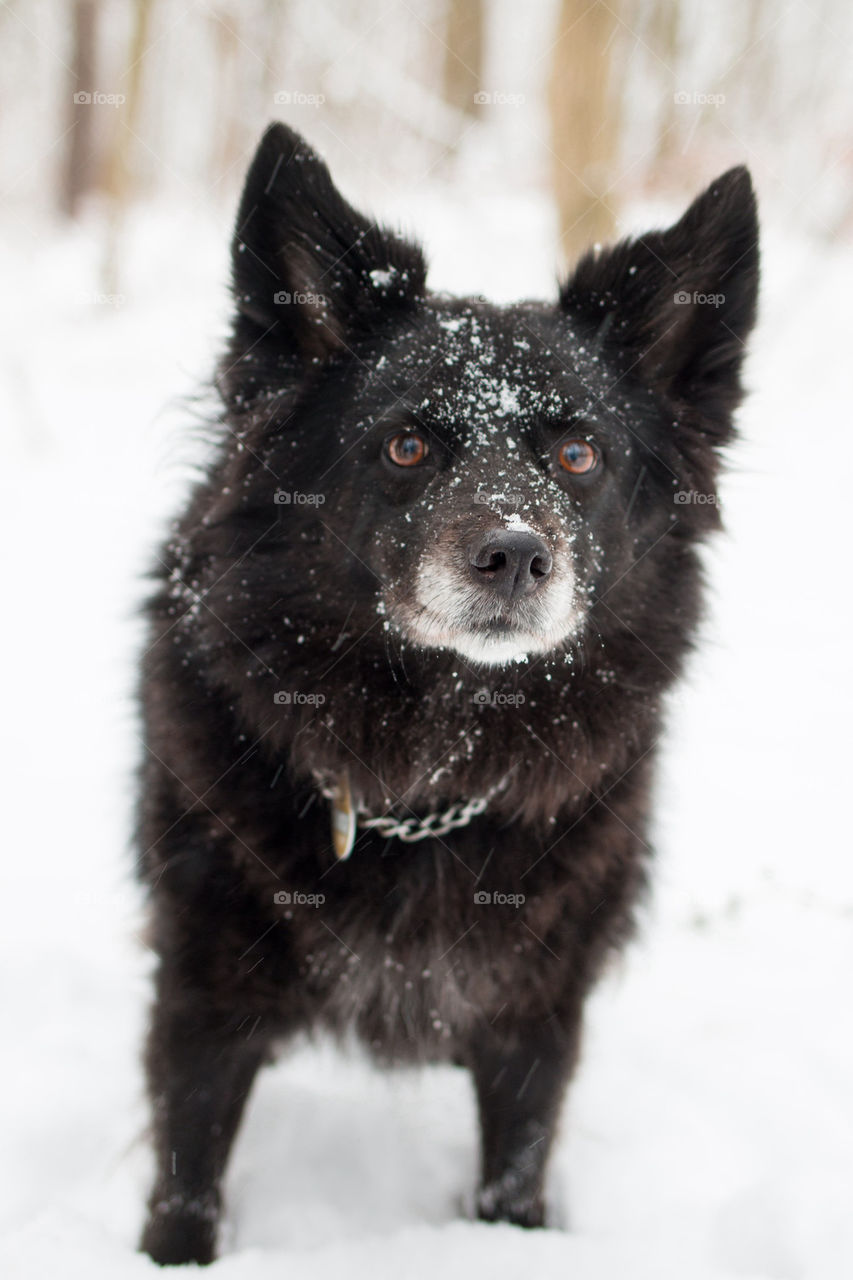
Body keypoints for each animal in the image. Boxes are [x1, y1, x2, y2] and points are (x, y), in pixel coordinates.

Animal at [139, 124, 758, 1264]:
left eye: (577, 453)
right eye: (407, 444)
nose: (513, 555)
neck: (430, 773)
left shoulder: (536, 1011)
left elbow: (514, 1171)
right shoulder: (201, 988)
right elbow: (184, 1180)